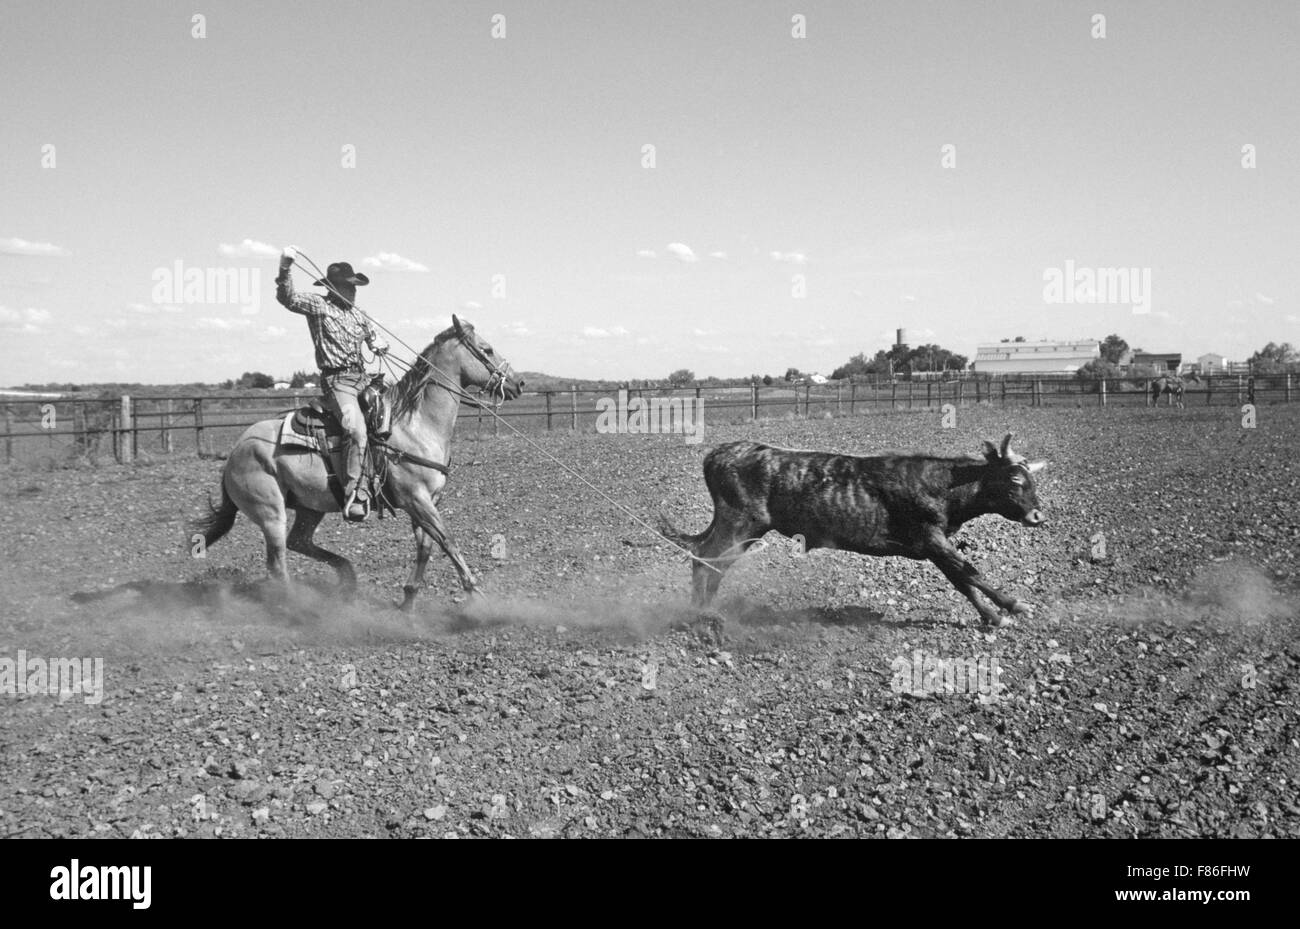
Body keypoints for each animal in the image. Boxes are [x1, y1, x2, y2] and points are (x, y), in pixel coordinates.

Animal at [659, 433, 1048, 627]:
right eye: (1015, 479)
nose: (1038, 516)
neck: (941, 485)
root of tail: (718, 455)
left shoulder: (933, 546)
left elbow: (962, 581)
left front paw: (993, 616)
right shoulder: (931, 538)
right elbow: (972, 573)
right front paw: (1015, 606)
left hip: (740, 528)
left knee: (707, 559)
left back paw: (703, 611)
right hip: (739, 524)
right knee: (707, 559)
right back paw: (703, 615)